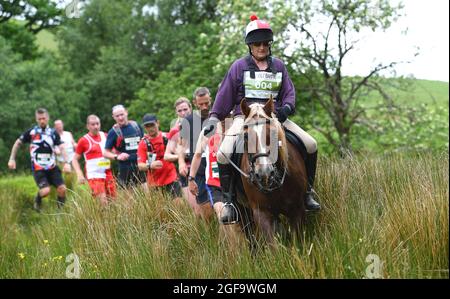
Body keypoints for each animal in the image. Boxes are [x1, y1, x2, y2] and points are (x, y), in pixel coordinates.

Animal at [230, 97, 308, 247]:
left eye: (272, 133)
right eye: (246, 136)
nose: (264, 174)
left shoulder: (297, 209)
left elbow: (296, 244)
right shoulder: (262, 213)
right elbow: (273, 247)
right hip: (243, 212)